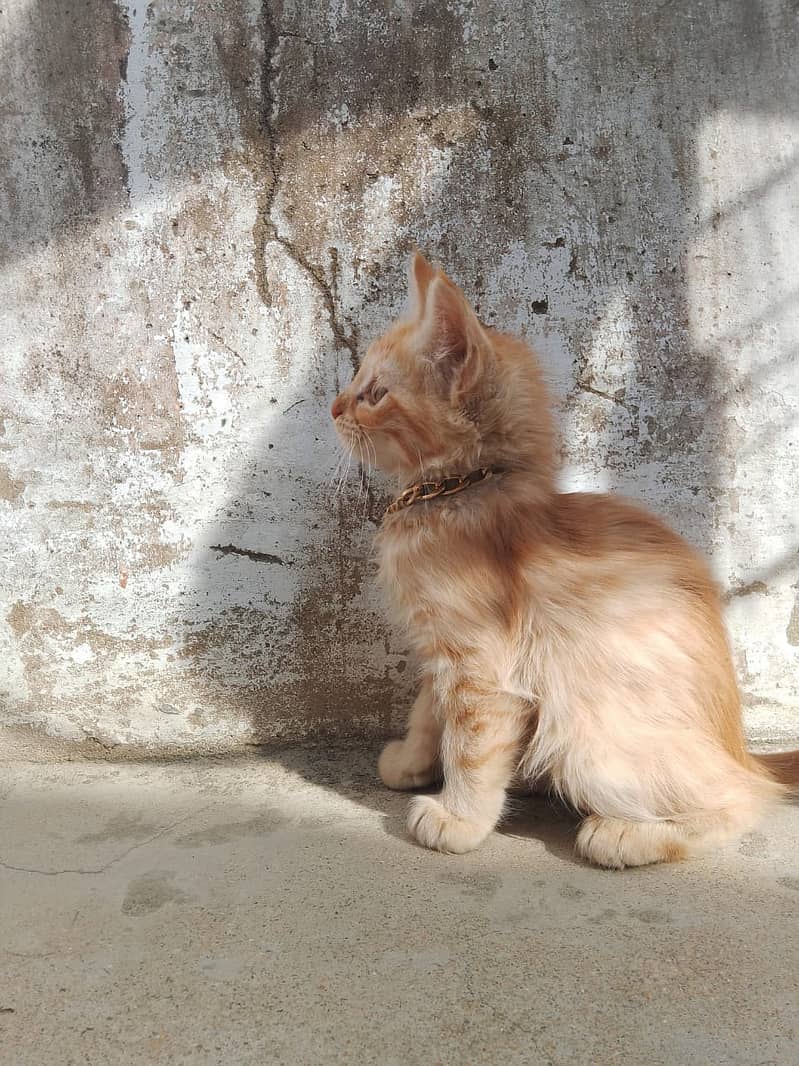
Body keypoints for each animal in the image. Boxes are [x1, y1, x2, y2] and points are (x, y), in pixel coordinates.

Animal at [330, 253, 796, 869]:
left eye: (375, 392)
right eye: (358, 383)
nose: (334, 406)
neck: (454, 493)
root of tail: (739, 749)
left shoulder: (481, 663)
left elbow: (471, 743)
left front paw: (460, 818)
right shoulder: (441, 648)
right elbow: (430, 710)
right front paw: (411, 762)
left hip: (586, 734)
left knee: (743, 798)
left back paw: (623, 835)